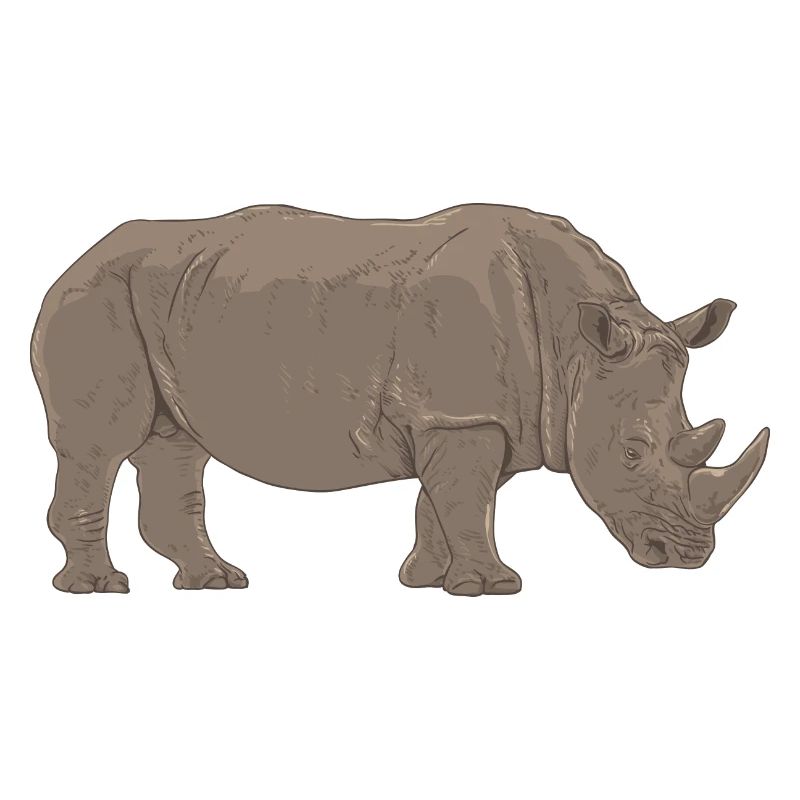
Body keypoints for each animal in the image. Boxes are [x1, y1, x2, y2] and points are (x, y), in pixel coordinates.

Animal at [31, 204, 769, 595]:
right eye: (634, 452)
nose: (689, 559)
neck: (579, 348)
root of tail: (71, 261)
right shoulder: (460, 413)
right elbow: (466, 498)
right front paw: (494, 589)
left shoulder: (475, 414)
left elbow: (447, 500)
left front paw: (426, 580)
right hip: (93, 298)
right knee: (99, 446)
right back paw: (100, 591)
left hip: (170, 298)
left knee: (176, 445)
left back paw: (215, 582)